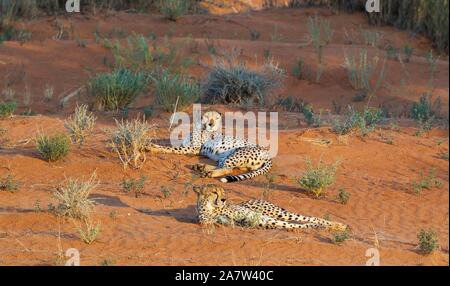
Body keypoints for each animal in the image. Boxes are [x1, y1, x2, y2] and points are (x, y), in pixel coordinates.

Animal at [193, 184, 348, 231]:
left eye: (223, 192)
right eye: (214, 192)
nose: (224, 199)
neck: (211, 207)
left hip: (278, 214)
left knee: (311, 218)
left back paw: (338, 225)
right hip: (271, 218)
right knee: (301, 222)